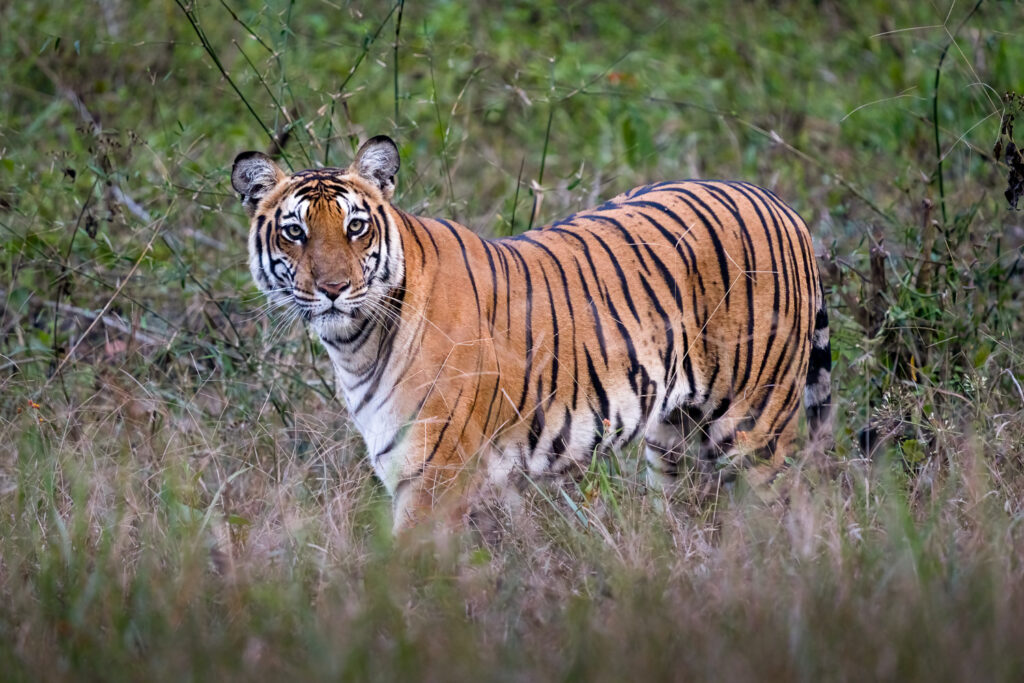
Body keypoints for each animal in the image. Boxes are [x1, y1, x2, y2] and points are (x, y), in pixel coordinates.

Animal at [230, 135, 832, 531]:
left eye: (356, 227)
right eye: (294, 233)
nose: (333, 288)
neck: (355, 344)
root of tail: (779, 203)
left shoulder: (434, 477)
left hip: (756, 428)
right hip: (674, 438)